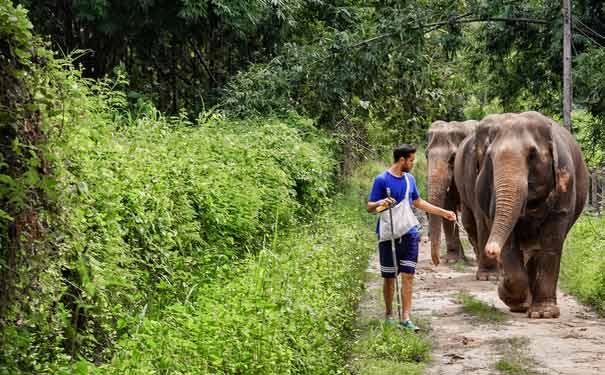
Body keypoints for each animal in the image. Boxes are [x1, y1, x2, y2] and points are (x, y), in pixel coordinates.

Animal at [456, 111, 588, 318]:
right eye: (490, 157)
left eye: (532, 155)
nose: (490, 250)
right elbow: (509, 241)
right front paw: (513, 299)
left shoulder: (565, 182)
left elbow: (552, 240)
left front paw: (544, 314)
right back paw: (525, 303)